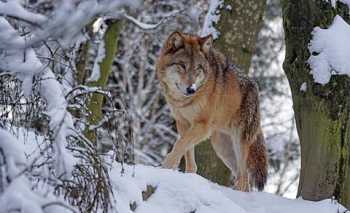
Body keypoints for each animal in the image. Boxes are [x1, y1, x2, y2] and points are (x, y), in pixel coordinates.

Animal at [157, 31, 268, 191]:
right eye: (182, 65)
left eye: (198, 68)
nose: (191, 89)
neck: (184, 101)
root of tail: (255, 87)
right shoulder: (183, 123)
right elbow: (187, 151)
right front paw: (189, 175)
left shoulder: (202, 126)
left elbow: (179, 145)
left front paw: (165, 167)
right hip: (222, 147)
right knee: (244, 178)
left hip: (239, 143)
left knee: (243, 178)